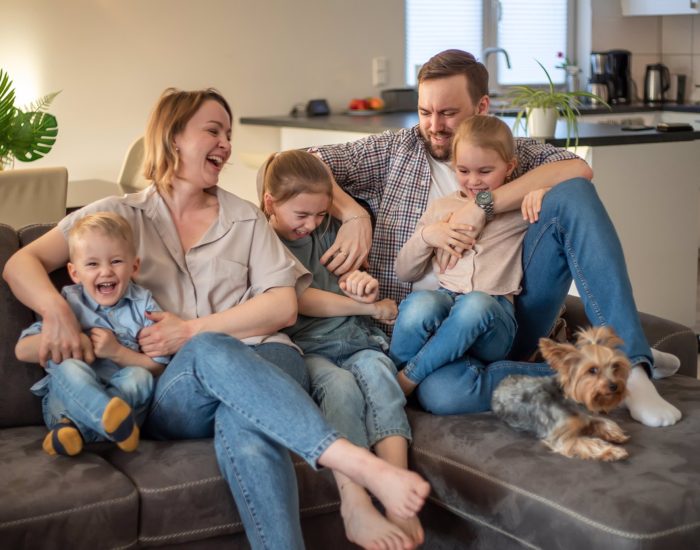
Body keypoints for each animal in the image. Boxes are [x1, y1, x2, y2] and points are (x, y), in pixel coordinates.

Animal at [492, 328, 636, 462]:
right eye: (592, 370)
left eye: (615, 366)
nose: (615, 386)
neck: (572, 401)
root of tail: (499, 385)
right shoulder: (562, 437)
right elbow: (590, 443)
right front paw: (613, 451)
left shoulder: (586, 416)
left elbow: (602, 421)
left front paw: (615, 434)